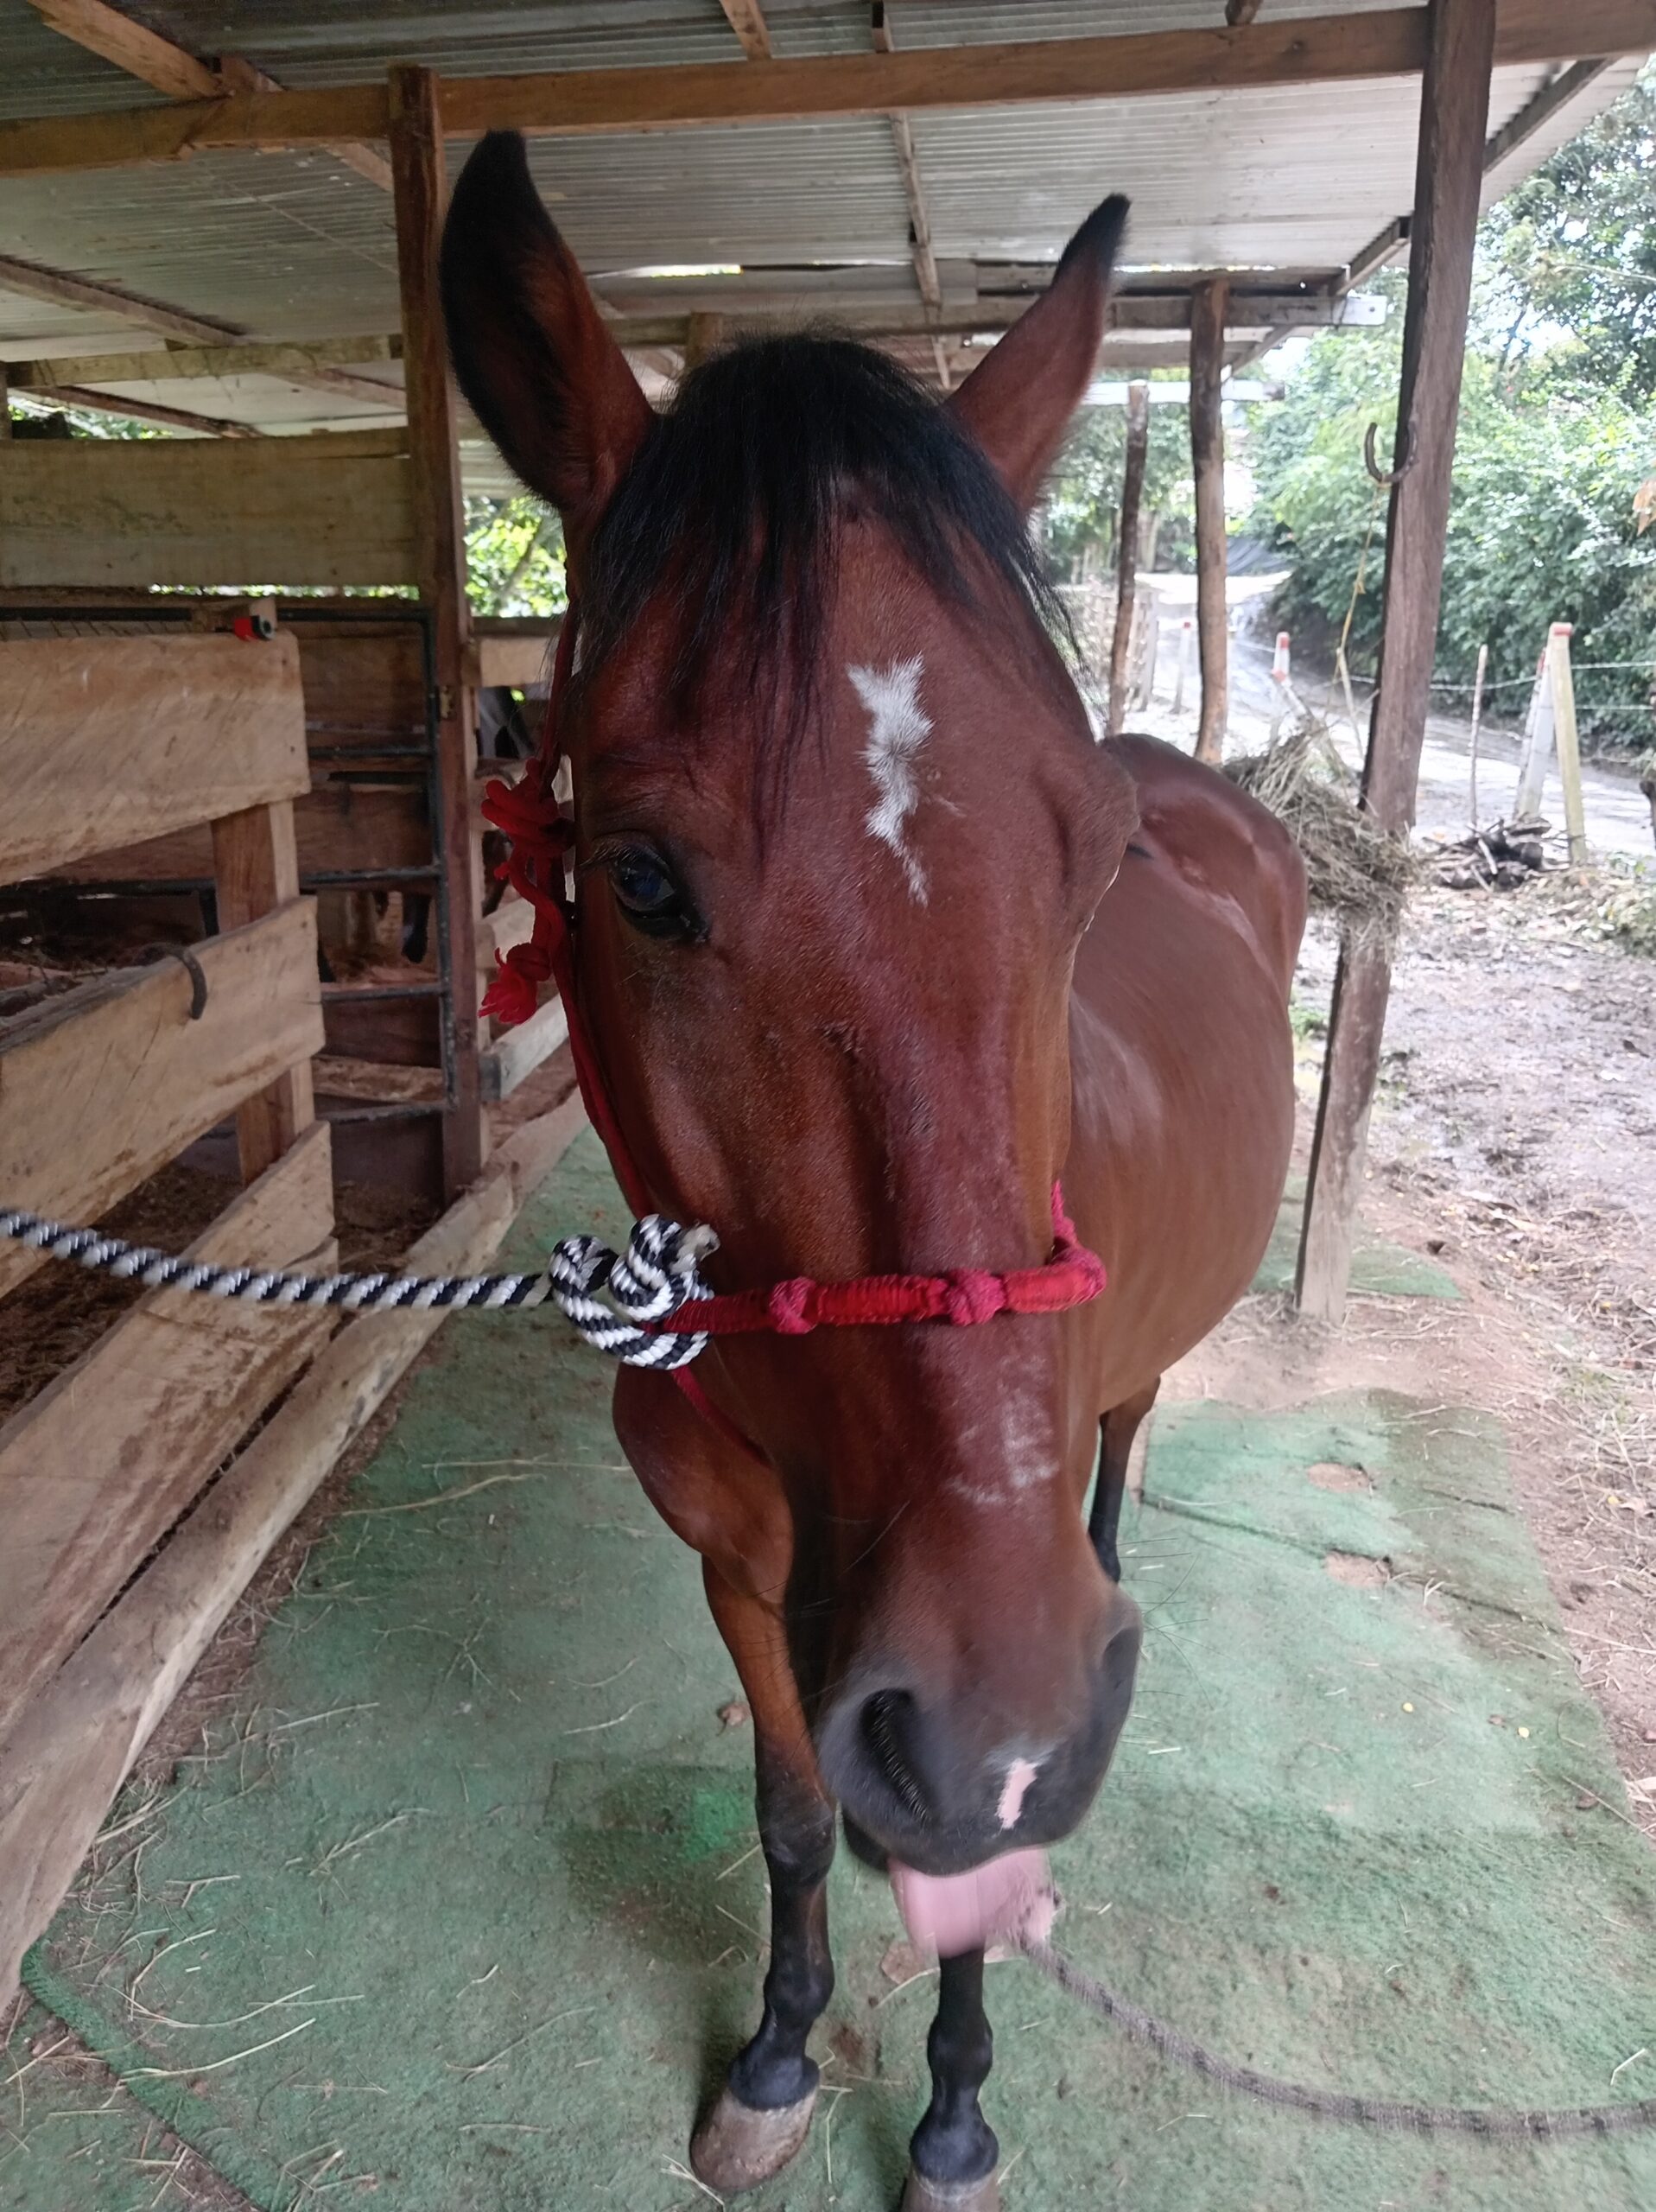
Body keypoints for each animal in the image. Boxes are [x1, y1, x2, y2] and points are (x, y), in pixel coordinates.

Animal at [441, 134, 1306, 2212]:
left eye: (1090, 855)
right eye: (638, 875)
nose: (1012, 1707)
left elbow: (969, 1888)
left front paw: (957, 2108)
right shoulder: (748, 1587)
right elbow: (788, 1811)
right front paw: (772, 2049)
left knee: (1125, 1449)